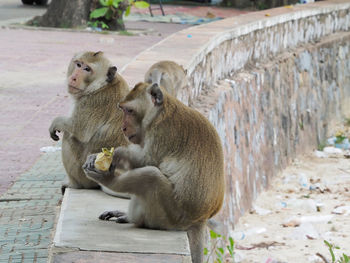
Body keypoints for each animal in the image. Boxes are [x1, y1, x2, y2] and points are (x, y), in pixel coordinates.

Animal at [49, 51, 130, 194]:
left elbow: (79, 130)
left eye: (87, 69)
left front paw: (56, 122)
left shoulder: (93, 101)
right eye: (78, 65)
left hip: (82, 173)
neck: (104, 84)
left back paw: (75, 184)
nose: (74, 77)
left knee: (68, 136)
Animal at [82, 82, 226, 263]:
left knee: (151, 176)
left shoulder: (162, 132)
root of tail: (201, 219)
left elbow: (147, 161)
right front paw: (96, 156)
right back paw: (129, 216)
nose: (123, 128)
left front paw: (117, 153)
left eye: (129, 111)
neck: (158, 113)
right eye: (122, 110)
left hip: (171, 217)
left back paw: (109, 181)